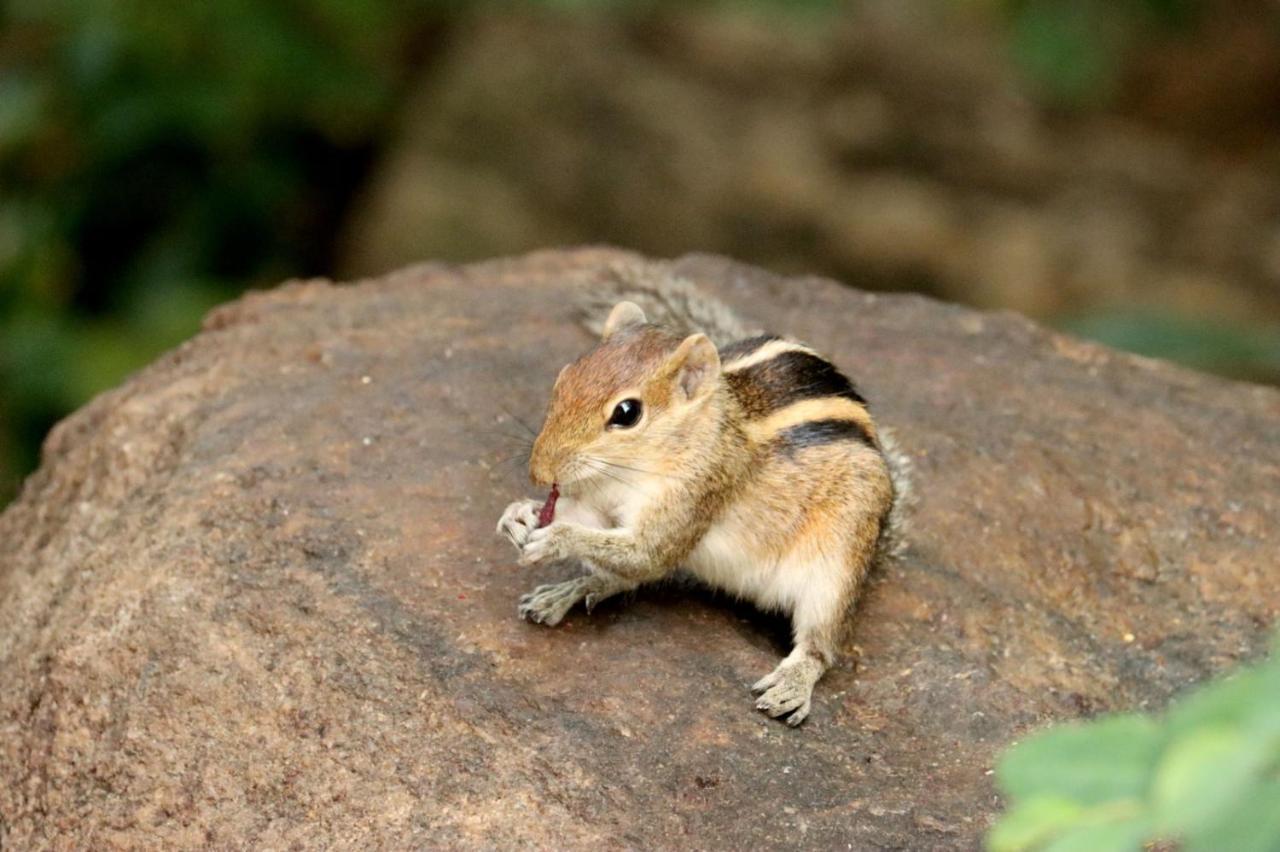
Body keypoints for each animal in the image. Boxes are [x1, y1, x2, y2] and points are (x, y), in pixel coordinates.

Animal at [491, 260, 911, 721]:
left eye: (627, 413)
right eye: (563, 380)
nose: (539, 472)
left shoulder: (695, 495)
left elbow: (646, 551)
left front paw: (556, 538)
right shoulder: (603, 501)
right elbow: (605, 534)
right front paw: (518, 515)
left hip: (838, 567)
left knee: (822, 642)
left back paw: (793, 684)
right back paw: (574, 589)